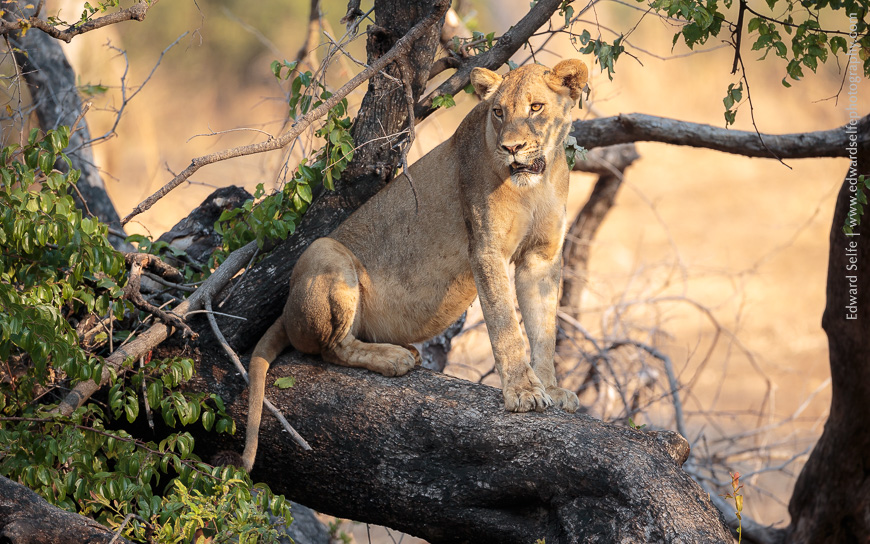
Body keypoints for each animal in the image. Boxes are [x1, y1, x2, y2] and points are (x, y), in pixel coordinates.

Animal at [241, 59, 589, 472]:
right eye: (498, 112)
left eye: (536, 107)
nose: (511, 148)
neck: (538, 180)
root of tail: (285, 312)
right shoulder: (485, 249)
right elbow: (506, 327)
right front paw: (522, 392)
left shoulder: (542, 257)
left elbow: (543, 329)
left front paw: (551, 388)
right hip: (326, 252)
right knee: (330, 349)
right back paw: (394, 358)